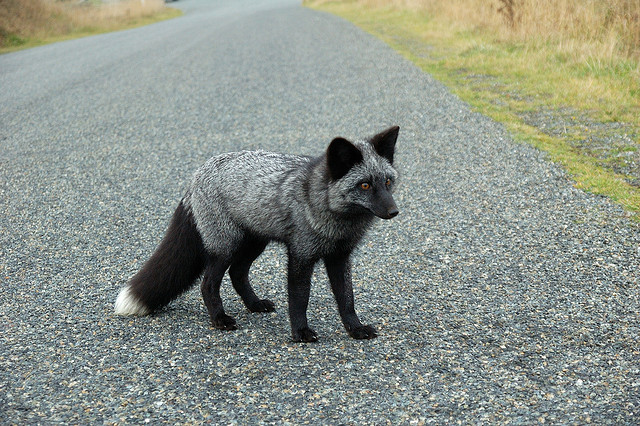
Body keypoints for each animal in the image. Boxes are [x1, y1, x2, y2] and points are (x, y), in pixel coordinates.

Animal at [112, 125, 398, 342]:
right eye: (364, 185)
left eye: (387, 182)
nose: (394, 211)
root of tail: (195, 177)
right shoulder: (300, 255)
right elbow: (299, 299)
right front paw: (300, 332)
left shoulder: (340, 257)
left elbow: (347, 298)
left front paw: (355, 329)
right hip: (225, 247)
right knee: (208, 283)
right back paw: (219, 319)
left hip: (254, 243)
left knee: (237, 274)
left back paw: (254, 304)